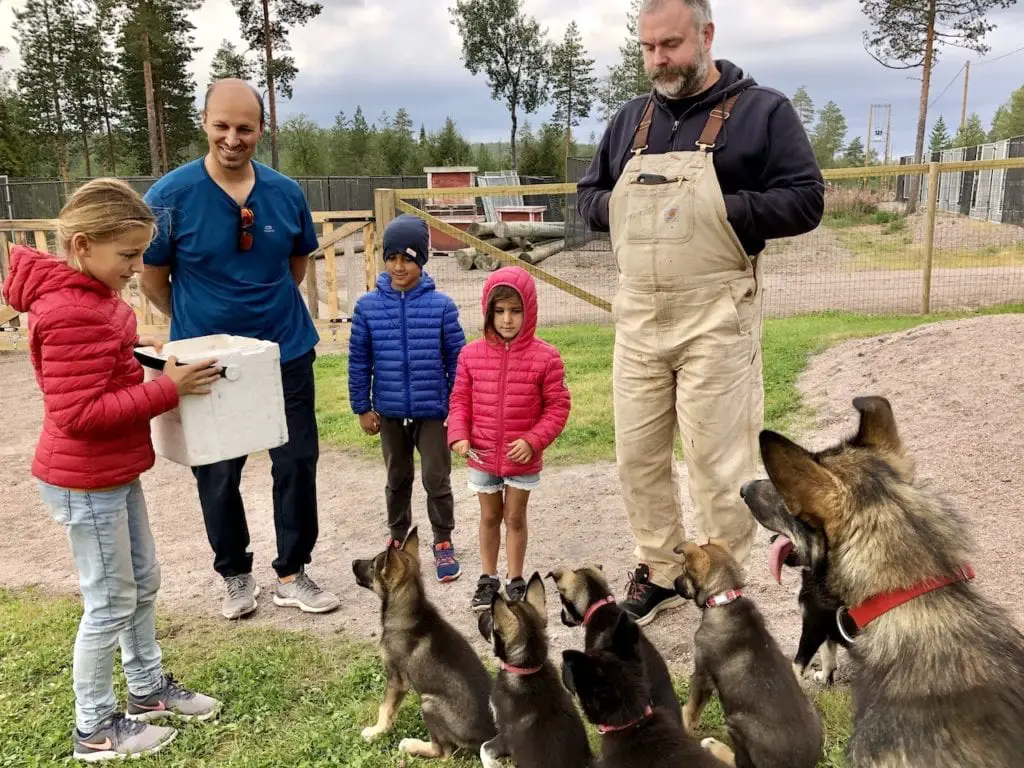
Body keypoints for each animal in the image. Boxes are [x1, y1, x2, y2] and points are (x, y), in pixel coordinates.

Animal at [671, 540, 823, 768]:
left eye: (683, 571)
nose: (673, 583)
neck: (724, 599)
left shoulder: (701, 675)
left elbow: (690, 710)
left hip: (735, 724)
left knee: (739, 763)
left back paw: (713, 746)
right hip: (812, 708)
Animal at [745, 399, 1024, 765]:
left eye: (781, 491)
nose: (742, 489)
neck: (908, 596)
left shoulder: (813, 621)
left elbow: (798, 662)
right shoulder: (826, 622)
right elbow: (828, 652)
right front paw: (826, 675)